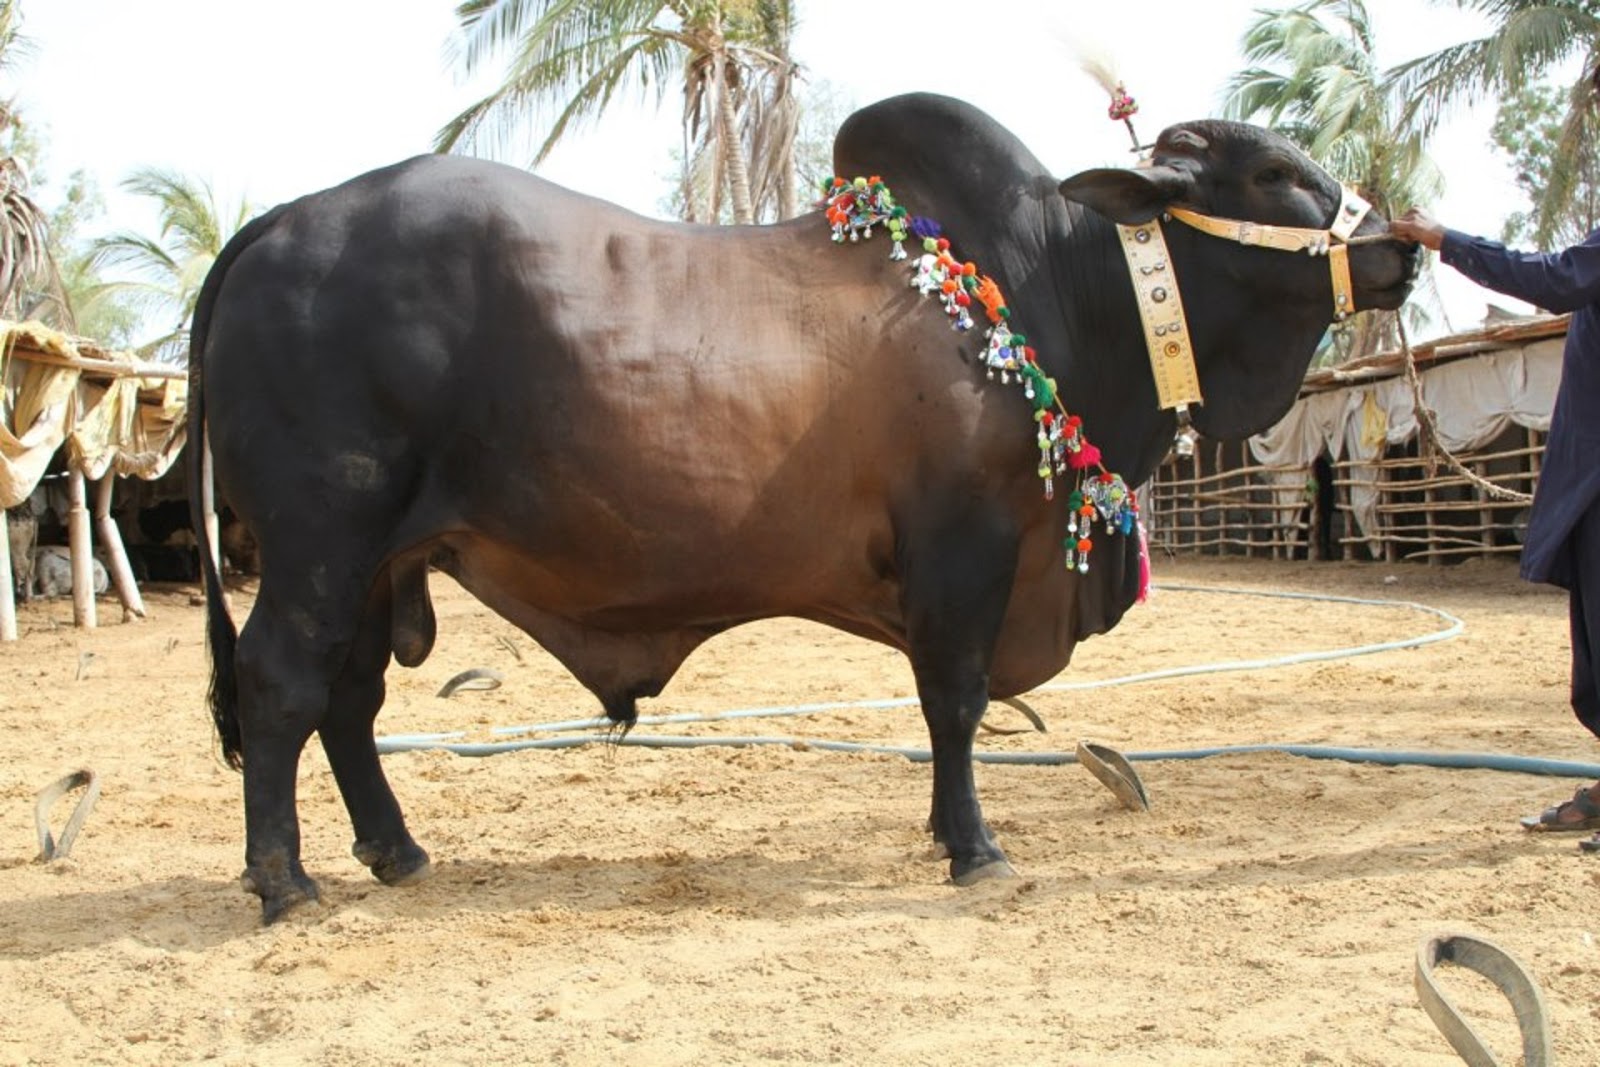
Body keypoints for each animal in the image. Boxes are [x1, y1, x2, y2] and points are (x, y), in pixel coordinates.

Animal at [188, 94, 1417, 922]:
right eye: (1272, 173)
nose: (1397, 242)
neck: (1040, 292)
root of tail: (282, 221)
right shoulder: (965, 546)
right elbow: (956, 702)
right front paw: (974, 848)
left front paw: (948, 831)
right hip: (320, 544)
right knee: (280, 683)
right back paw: (282, 879)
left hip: (374, 564)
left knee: (346, 702)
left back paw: (394, 851)